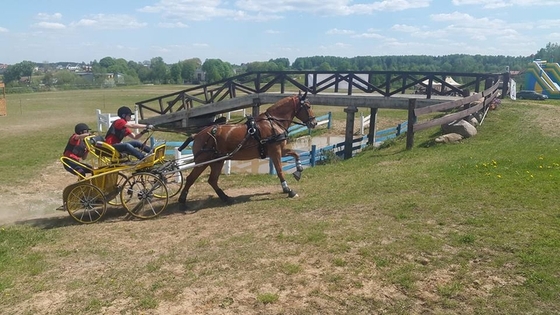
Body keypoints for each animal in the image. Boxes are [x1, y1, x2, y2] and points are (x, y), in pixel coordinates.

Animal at [177, 92, 318, 207]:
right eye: (308, 106)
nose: (314, 123)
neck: (273, 122)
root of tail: (197, 135)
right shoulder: (275, 152)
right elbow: (280, 171)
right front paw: (288, 189)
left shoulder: (279, 150)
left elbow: (295, 154)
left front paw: (298, 170)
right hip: (203, 161)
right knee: (191, 178)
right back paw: (182, 200)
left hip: (217, 161)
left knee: (212, 180)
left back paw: (226, 197)